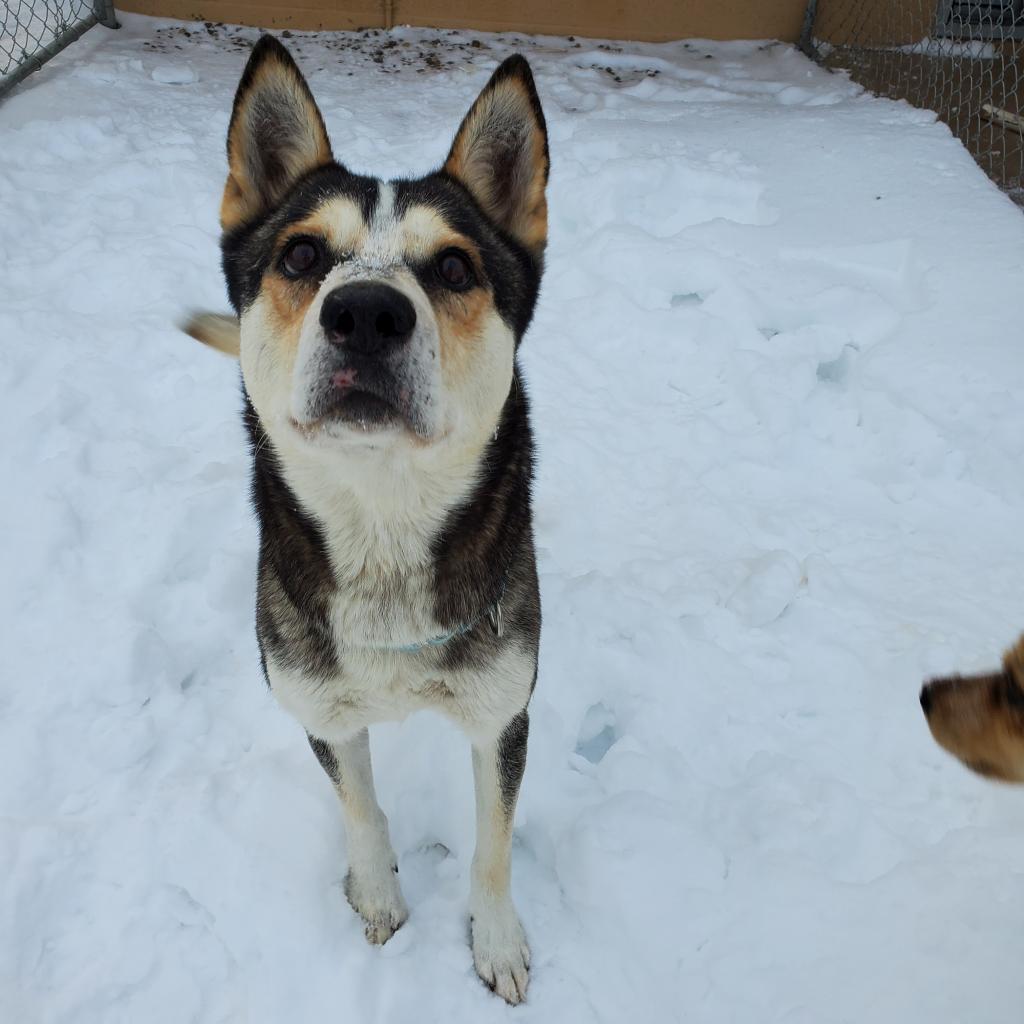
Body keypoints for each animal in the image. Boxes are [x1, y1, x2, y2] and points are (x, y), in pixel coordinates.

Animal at [187, 36, 548, 1003]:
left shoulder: (504, 709)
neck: (384, 525)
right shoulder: (318, 705)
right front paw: (378, 894)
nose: (366, 313)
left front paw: (496, 941)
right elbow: (360, 808)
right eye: (303, 255)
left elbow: (494, 845)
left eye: (454, 268)